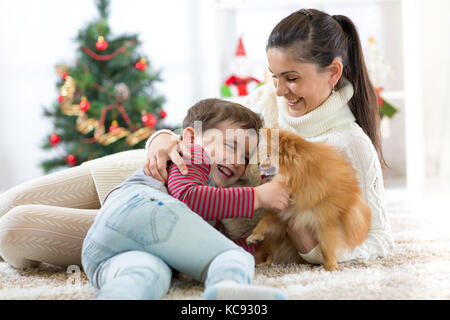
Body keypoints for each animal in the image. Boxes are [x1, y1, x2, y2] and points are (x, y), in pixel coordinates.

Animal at [248, 127, 370, 270]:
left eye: (268, 156)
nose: (258, 163)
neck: (300, 180)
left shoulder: (326, 221)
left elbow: (326, 246)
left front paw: (331, 266)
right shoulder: (287, 214)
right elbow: (265, 220)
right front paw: (254, 235)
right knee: (270, 254)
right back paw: (263, 263)